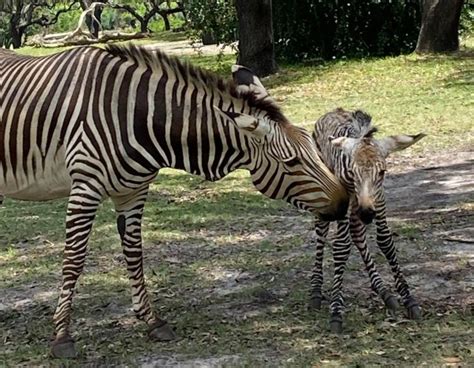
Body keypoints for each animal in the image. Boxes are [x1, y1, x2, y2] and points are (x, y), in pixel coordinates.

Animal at [0, 45, 348, 356]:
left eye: (315, 150)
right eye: (292, 163)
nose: (345, 203)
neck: (139, 117)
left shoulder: (133, 190)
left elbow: (134, 254)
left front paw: (151, 321)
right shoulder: (86, 187)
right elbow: (73, 259)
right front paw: (62, 336)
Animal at [310, 108, 424, 334]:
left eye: (382, 171)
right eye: (353, 172)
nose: (366, 214)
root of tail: (331, 111)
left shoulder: (379, 200)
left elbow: (385, 242)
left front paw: (408, 299)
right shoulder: (346, 200)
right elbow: (341, 247)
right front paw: (336, 312)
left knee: (357, 233)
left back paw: (383, 291)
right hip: (329, 194)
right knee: (322, 231)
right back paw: (316, 292)